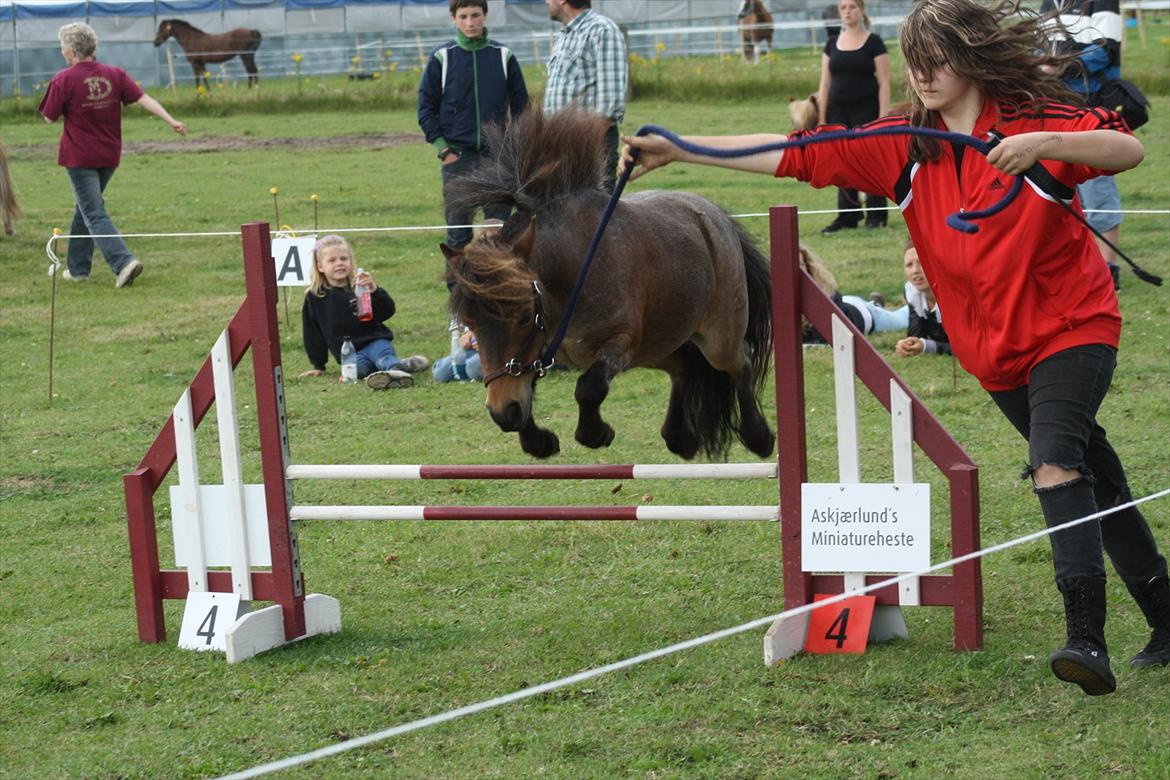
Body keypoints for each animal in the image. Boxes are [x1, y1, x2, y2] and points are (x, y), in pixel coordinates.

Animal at [439, 110, 776, 463]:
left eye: (523, 318)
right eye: (471, 322)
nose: (503, 412)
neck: (573, 276)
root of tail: (716, 217)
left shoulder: (619, 342)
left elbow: (589, 387)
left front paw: (596, 433)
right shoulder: (538, 353)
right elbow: (528, 388)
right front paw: (538, 440)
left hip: (715, 340)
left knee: (741, 363)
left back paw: (758, 436)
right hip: (656, 344)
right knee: (682, 367)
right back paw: (680, 438)